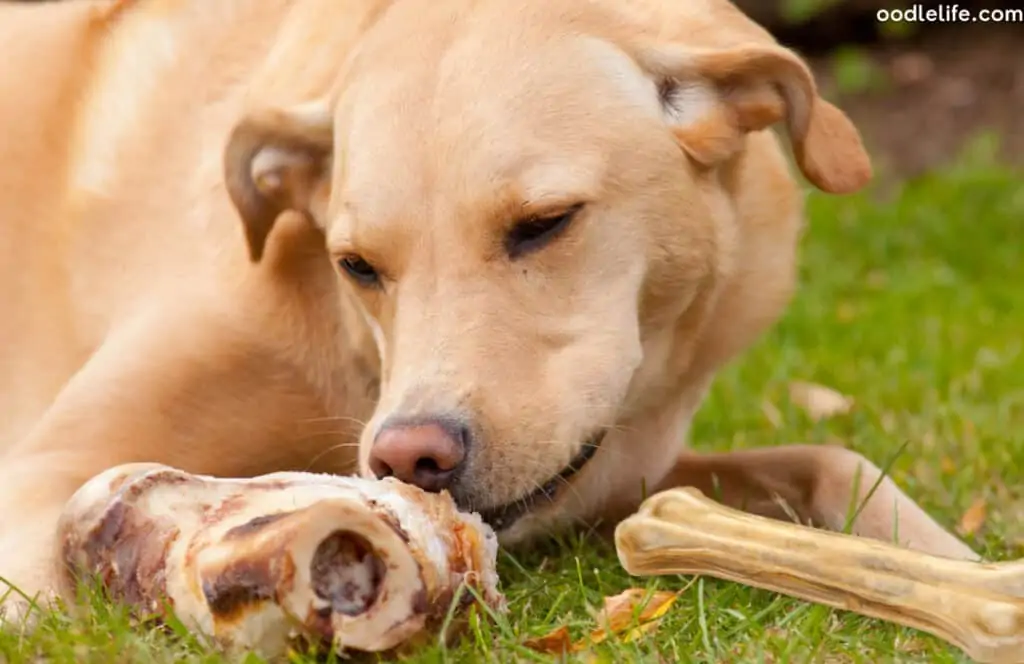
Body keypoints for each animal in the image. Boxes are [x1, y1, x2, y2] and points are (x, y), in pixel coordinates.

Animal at [0, 0, 974, 618]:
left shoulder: (633, 480)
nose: (407, 459)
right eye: (356, 266)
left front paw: (943, 564)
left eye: (543, 225)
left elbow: (835, 459)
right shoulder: (42, 480)